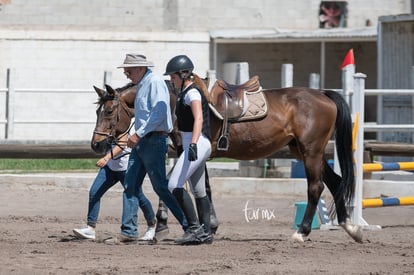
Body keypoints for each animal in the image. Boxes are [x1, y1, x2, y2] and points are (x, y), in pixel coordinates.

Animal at [90, 78, 362, 243]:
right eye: (97, 111)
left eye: (109, 111)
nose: (96, 145)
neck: (179, 101)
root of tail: (323, 94)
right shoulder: (190, 152)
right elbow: (197, 187)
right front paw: (206, 225)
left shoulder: (194, 151)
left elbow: (180, 185)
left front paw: (180, 225)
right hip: (303, 151)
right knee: (336, 182)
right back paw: (351, 228)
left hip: (311, 151)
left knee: (316, 187)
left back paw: (302, 232)